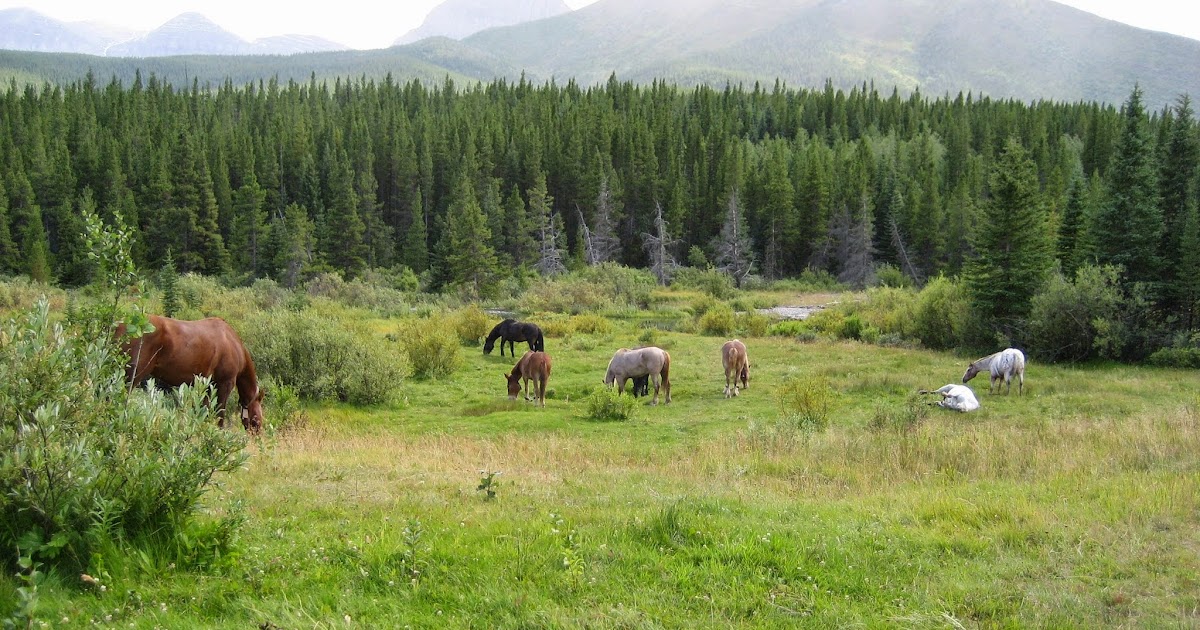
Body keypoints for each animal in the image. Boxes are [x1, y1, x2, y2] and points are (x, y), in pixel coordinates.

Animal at [115, 315, 264, 432]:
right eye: (256, 419)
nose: (257, 434)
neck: (232, 342)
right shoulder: (225, 384)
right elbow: (220, 415)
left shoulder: (207, 386)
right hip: (132, 375)